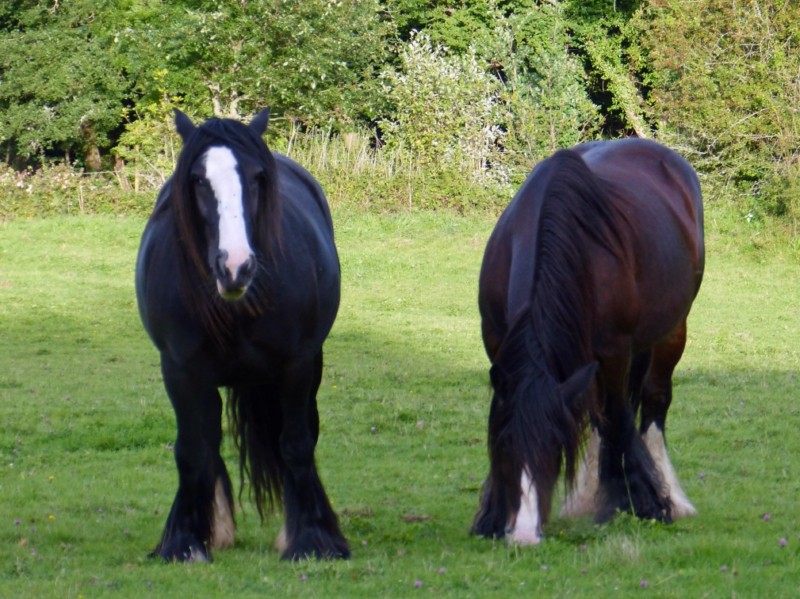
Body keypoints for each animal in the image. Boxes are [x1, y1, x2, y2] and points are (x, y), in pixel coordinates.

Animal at [136, 109, 348, 564]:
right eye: (198, 180)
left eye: (256, 177)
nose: (236, 266)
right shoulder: (180, 371)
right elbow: (191, 450)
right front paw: (185, 542)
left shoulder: (297, 366)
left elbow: (296, 443)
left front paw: (311, 540)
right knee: (208, 442)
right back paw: (216, 527)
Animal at [472, 138, 704, 548]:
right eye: (504, 447)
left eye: (555, 450)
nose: (524, 534)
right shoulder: (497, 341)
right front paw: (493, 515)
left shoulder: (613, 351)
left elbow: (618, 419)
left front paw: (643, 502)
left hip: (671, 331)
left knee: (652, 404)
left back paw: (672, 498)